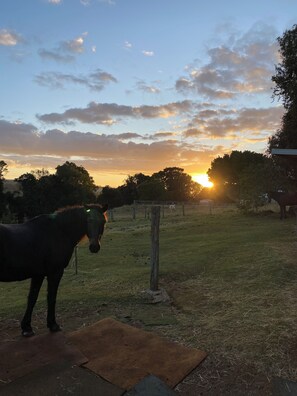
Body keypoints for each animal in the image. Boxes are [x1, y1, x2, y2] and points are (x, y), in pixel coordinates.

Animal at [0, 204, 107, 338]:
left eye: (103, 221)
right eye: (89, 220)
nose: (94, 247)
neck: (59, 231)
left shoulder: (38, 274)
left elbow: (32, 298)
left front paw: (27, 327)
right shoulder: (55, 272)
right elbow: (51, 297)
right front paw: (53, 325)